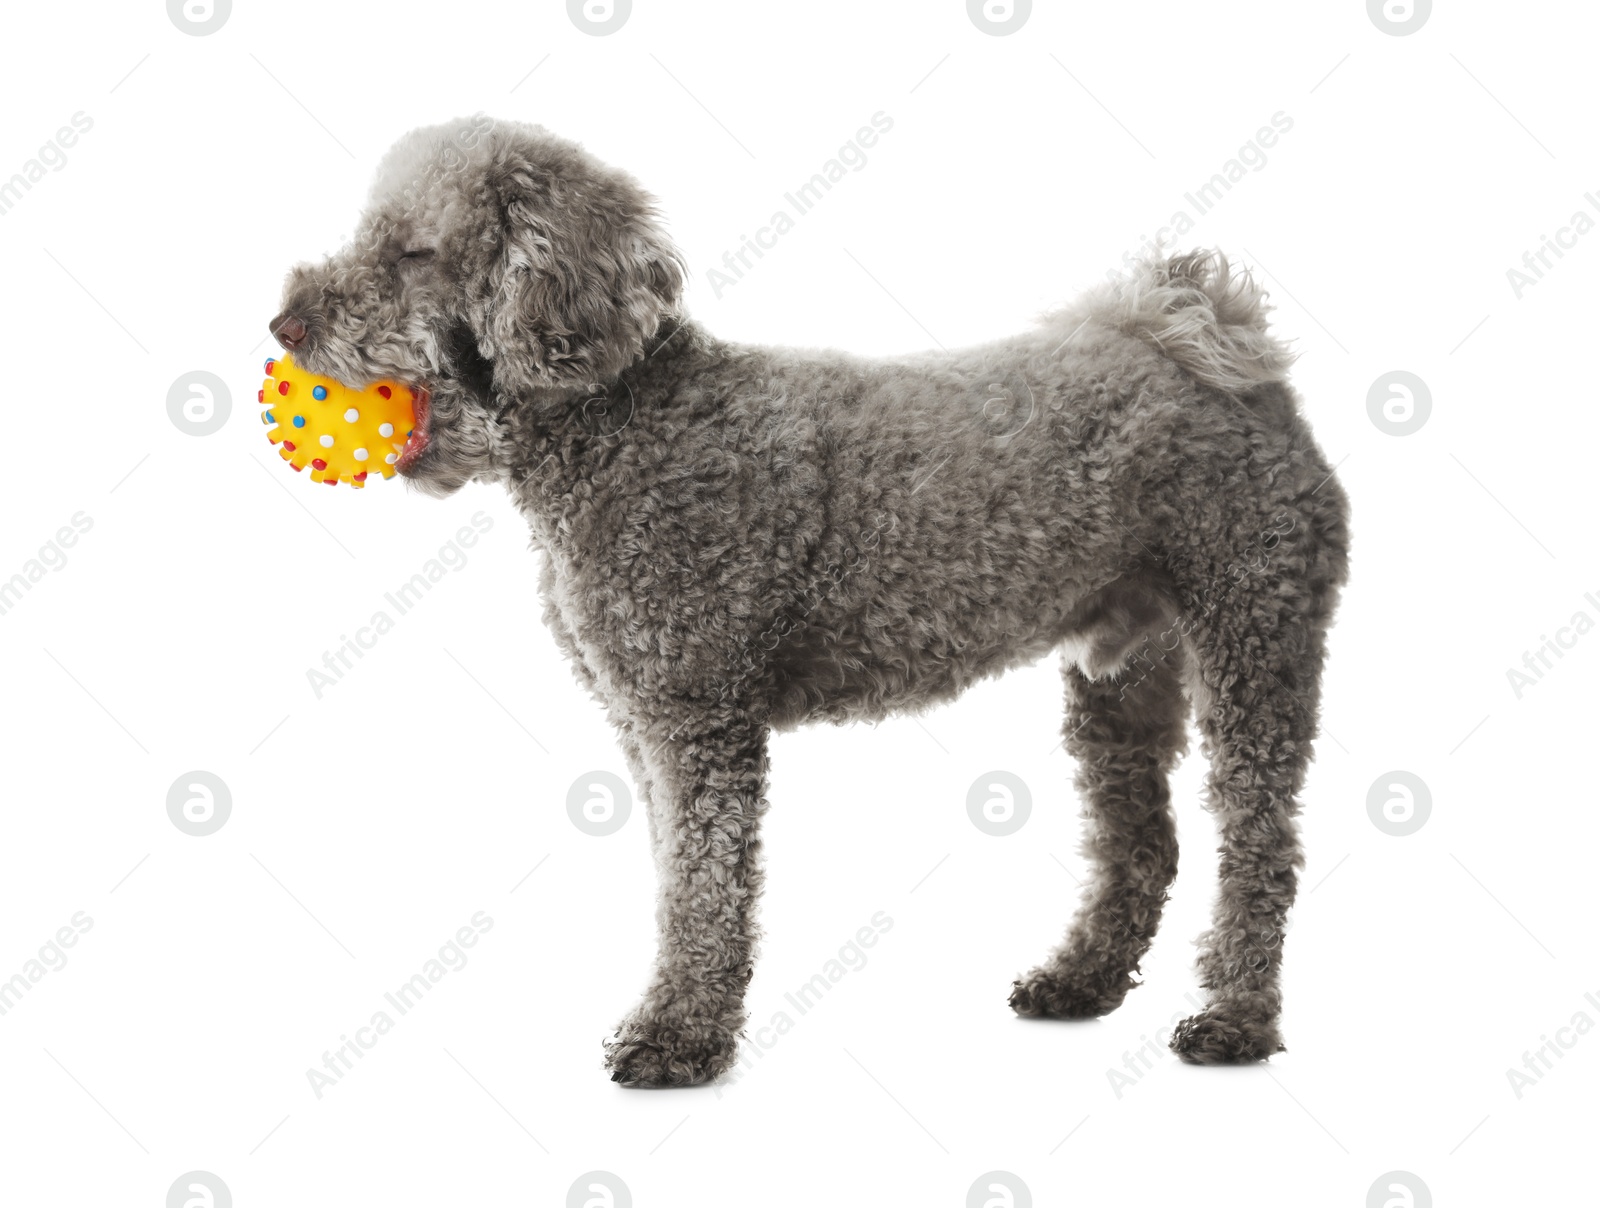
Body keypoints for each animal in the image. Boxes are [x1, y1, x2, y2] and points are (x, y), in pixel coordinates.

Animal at [272, 118, 1350, 1094]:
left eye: (415, 255)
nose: (285, 325)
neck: (629, 423)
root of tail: (1207, 342)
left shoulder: (699, 718)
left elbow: (704, 887)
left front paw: (677, 1037)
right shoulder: (647, 726)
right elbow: (675, 877)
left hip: (1255, 636)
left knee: (1261, 845)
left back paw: (1235, 1020)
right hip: (1118, 673)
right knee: (1141, 842)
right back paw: (1080, 979)